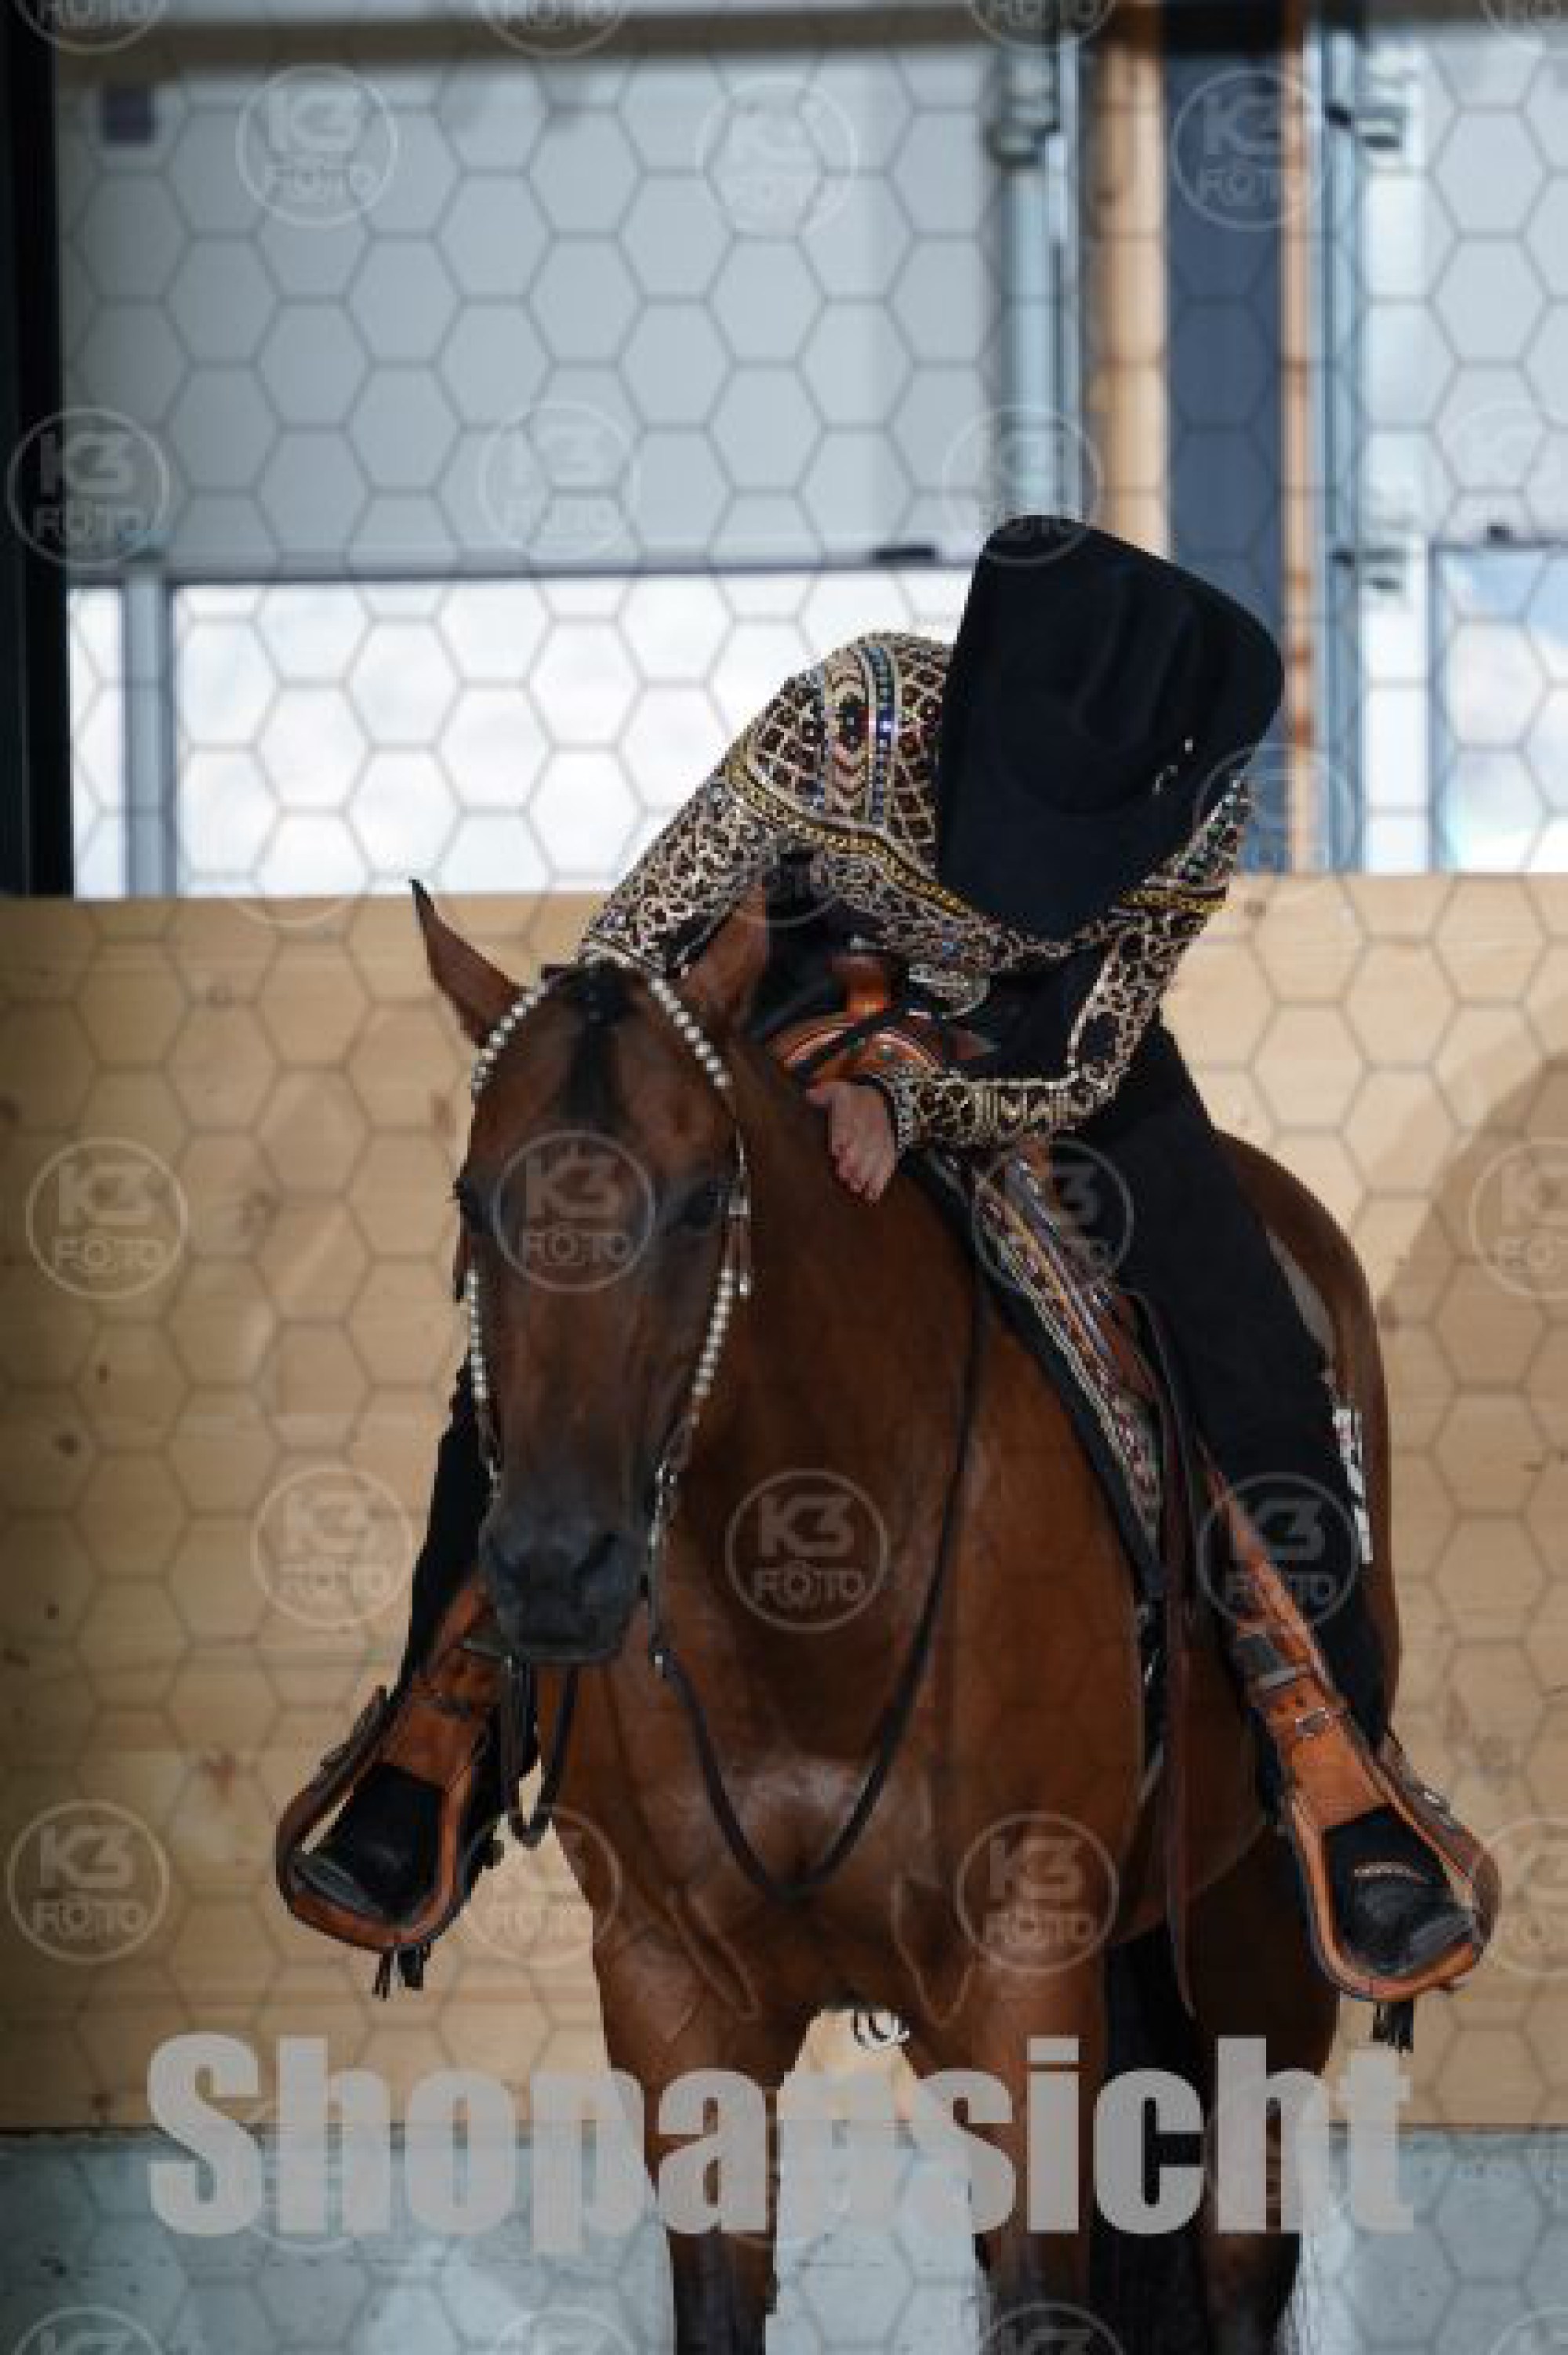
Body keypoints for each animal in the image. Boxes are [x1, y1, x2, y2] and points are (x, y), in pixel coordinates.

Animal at [417, 882, 1398, 2355]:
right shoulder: (666, 1983)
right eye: (476, 1199)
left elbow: (1053, 2289)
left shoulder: (1024, 1965)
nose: (551, 1567)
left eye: (703, 1202)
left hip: (1256, 1938)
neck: (812, 1597)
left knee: (1237, 2256)